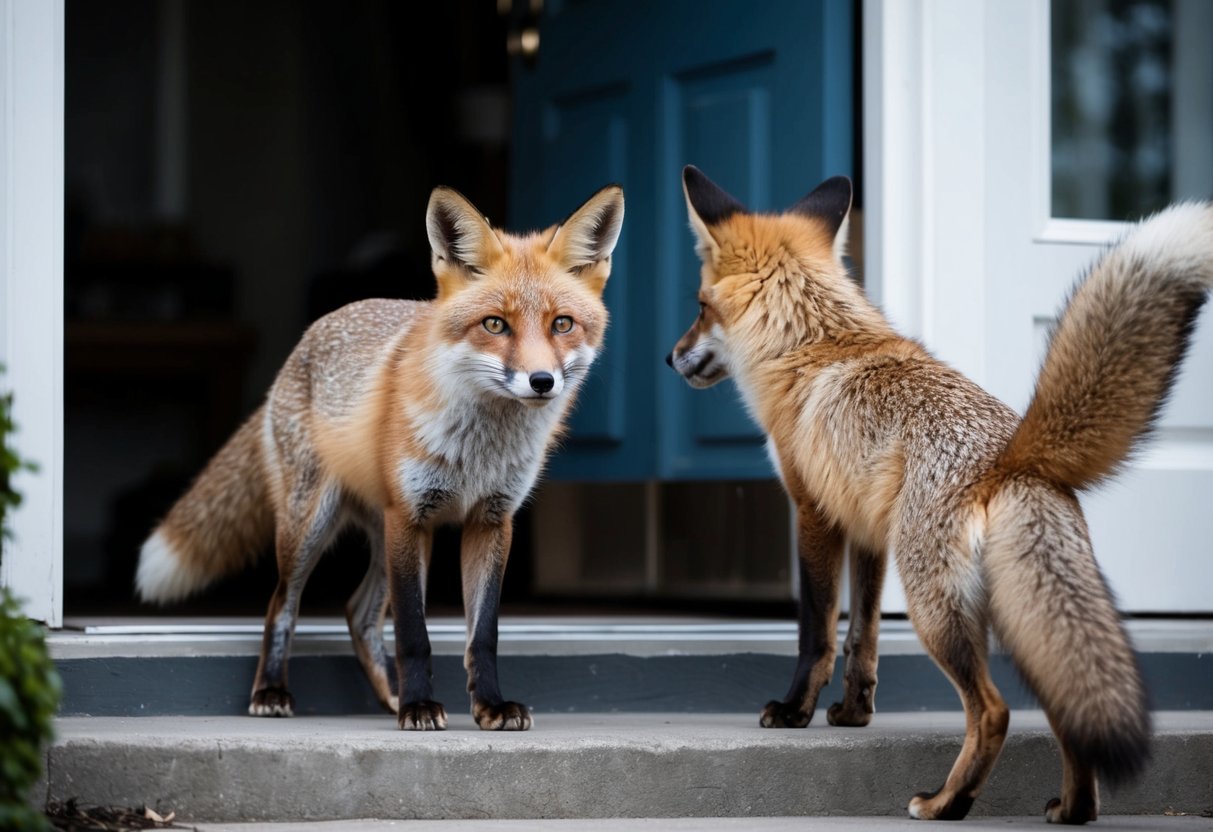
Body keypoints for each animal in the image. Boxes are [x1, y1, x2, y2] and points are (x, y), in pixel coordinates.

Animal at [136, 183, 624, 731]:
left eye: (562, 324)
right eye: (495, 324)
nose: (542, 382)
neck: (479, 451)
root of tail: (305, 340)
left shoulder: (491, 521)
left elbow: (483, 635)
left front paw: (489, 706)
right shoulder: (407, 516)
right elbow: (414, 633)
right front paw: (418, 707)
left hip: (398, 538)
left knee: (359, 613)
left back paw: (389, 694)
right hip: (312, 526)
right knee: (282, 604)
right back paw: (273, 691)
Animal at [668, 164, 1212, 823]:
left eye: (700, 306)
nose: (669, 357)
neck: (813, 345)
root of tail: (1015, 456)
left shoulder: (813, 512)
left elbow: (817, 633)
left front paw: (795, 712)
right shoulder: (866, 528)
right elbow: (864, 638)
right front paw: (854, 714)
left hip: (935, 608)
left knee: (993, 712)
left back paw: (947, 803)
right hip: (1022, 613)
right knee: (1067, 707)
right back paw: (1074, 809)